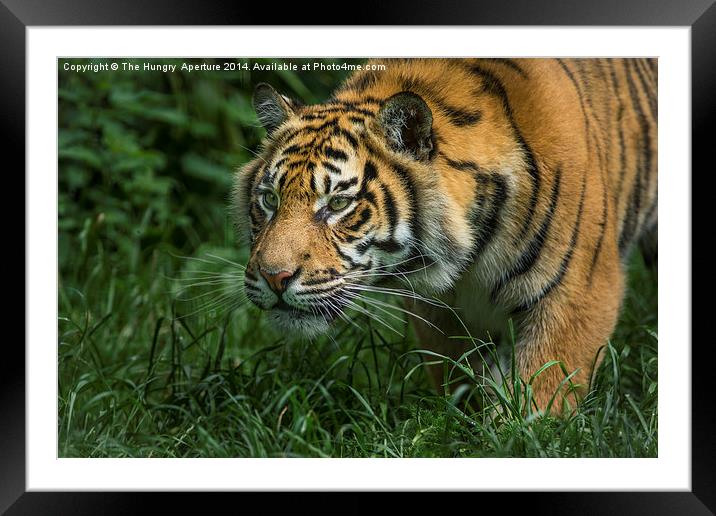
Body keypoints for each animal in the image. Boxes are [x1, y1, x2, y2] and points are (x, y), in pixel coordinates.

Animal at [232, 58, 656, 414]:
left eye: (338, 203)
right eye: (269, 199)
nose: (274, 277)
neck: (467, 259)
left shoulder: (577, 293)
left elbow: (542, 391)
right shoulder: (435, 309)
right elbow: (458, 376)